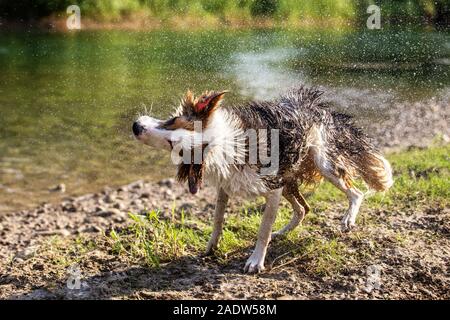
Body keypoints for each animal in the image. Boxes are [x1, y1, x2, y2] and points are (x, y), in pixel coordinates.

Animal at [132, 87, 392, 272]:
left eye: (172, 140)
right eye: (171, 121)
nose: (135, 126)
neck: (221, 143)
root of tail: (313, 104)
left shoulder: (273, 189)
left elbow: (263, 230)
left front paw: (256, 261)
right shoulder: (226, 185)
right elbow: (217, 220)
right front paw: (211, 247)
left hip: (322, 163)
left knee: (355, 192)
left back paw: (347, 219)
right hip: (288, 178)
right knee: (303, 209)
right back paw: (283, 232)